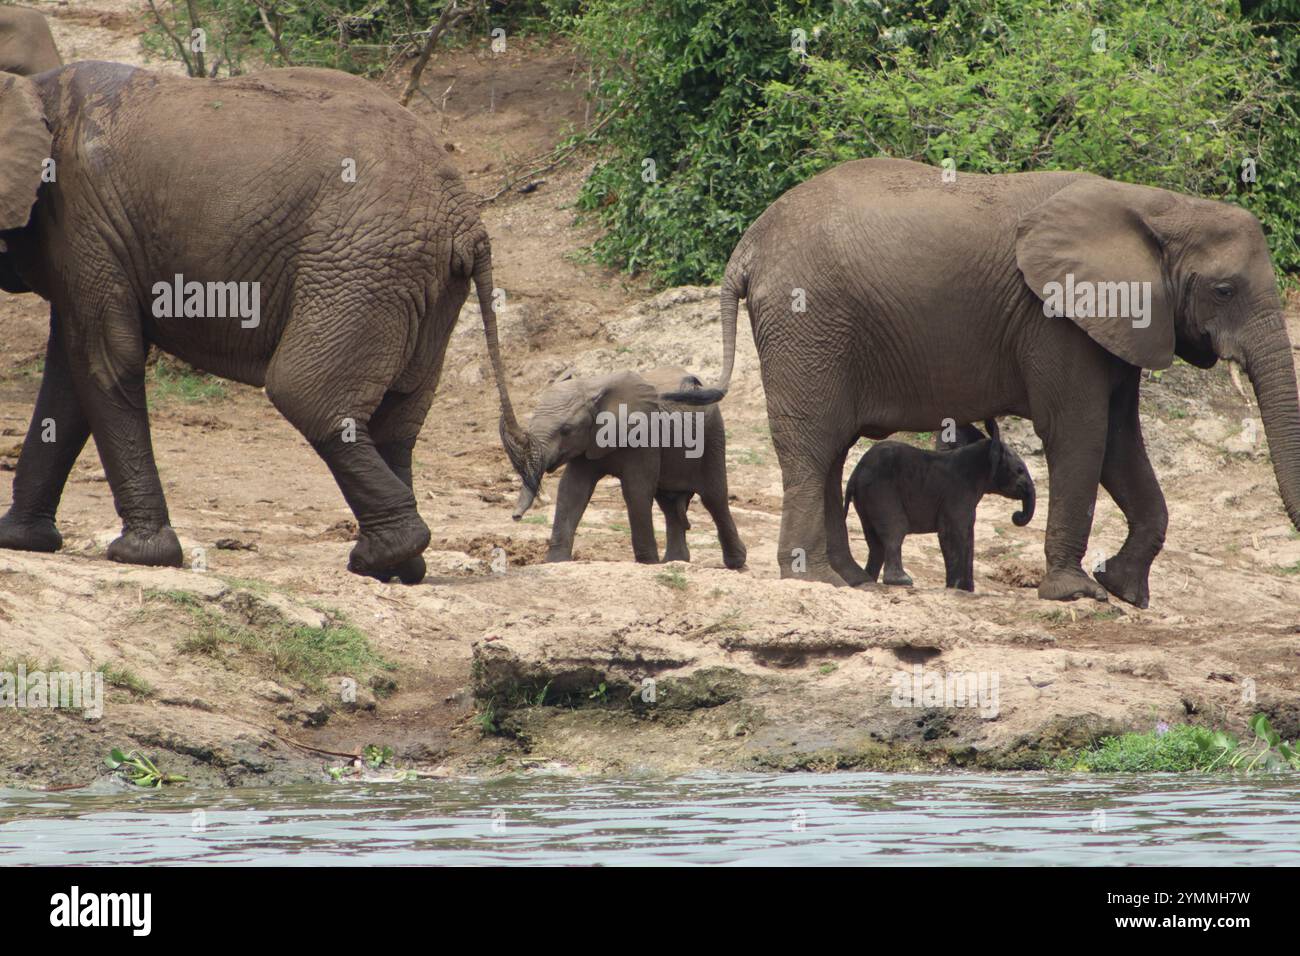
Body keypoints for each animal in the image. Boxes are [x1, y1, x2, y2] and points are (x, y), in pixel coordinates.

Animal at [0, 65, 530, 582]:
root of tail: (467, 219)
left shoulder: (82, 218)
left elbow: (106, 358)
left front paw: (139, 555)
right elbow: (69, 379)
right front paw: (20, 540)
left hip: (363, 264)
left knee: (306, 395)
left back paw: (381, 556)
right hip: (422, 285)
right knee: (397, 417)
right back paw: (398, 568)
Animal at [512, 369, 748, 572]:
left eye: (566, 430)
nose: (516, 517)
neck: (593, 387)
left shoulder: (645, 435)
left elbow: (637, 491)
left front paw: (648, 564)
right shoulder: (586, 443)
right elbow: (572, 490)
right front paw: (556, 562)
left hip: (713, 436)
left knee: (714, 497)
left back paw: (736, 562)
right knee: (669, 503)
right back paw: (675, 561)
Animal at [702, 157, 1300, 606]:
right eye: (1224, 290)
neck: (1158, 205)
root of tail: (748, 247)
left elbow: (1120, 443)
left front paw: (1123, 589)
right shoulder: (1055, 319)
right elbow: (1080, 434)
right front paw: (1077, 592)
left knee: (831, 449)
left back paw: (850, 581)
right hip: (807, 322)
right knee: (813, 443)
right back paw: (817, 581)